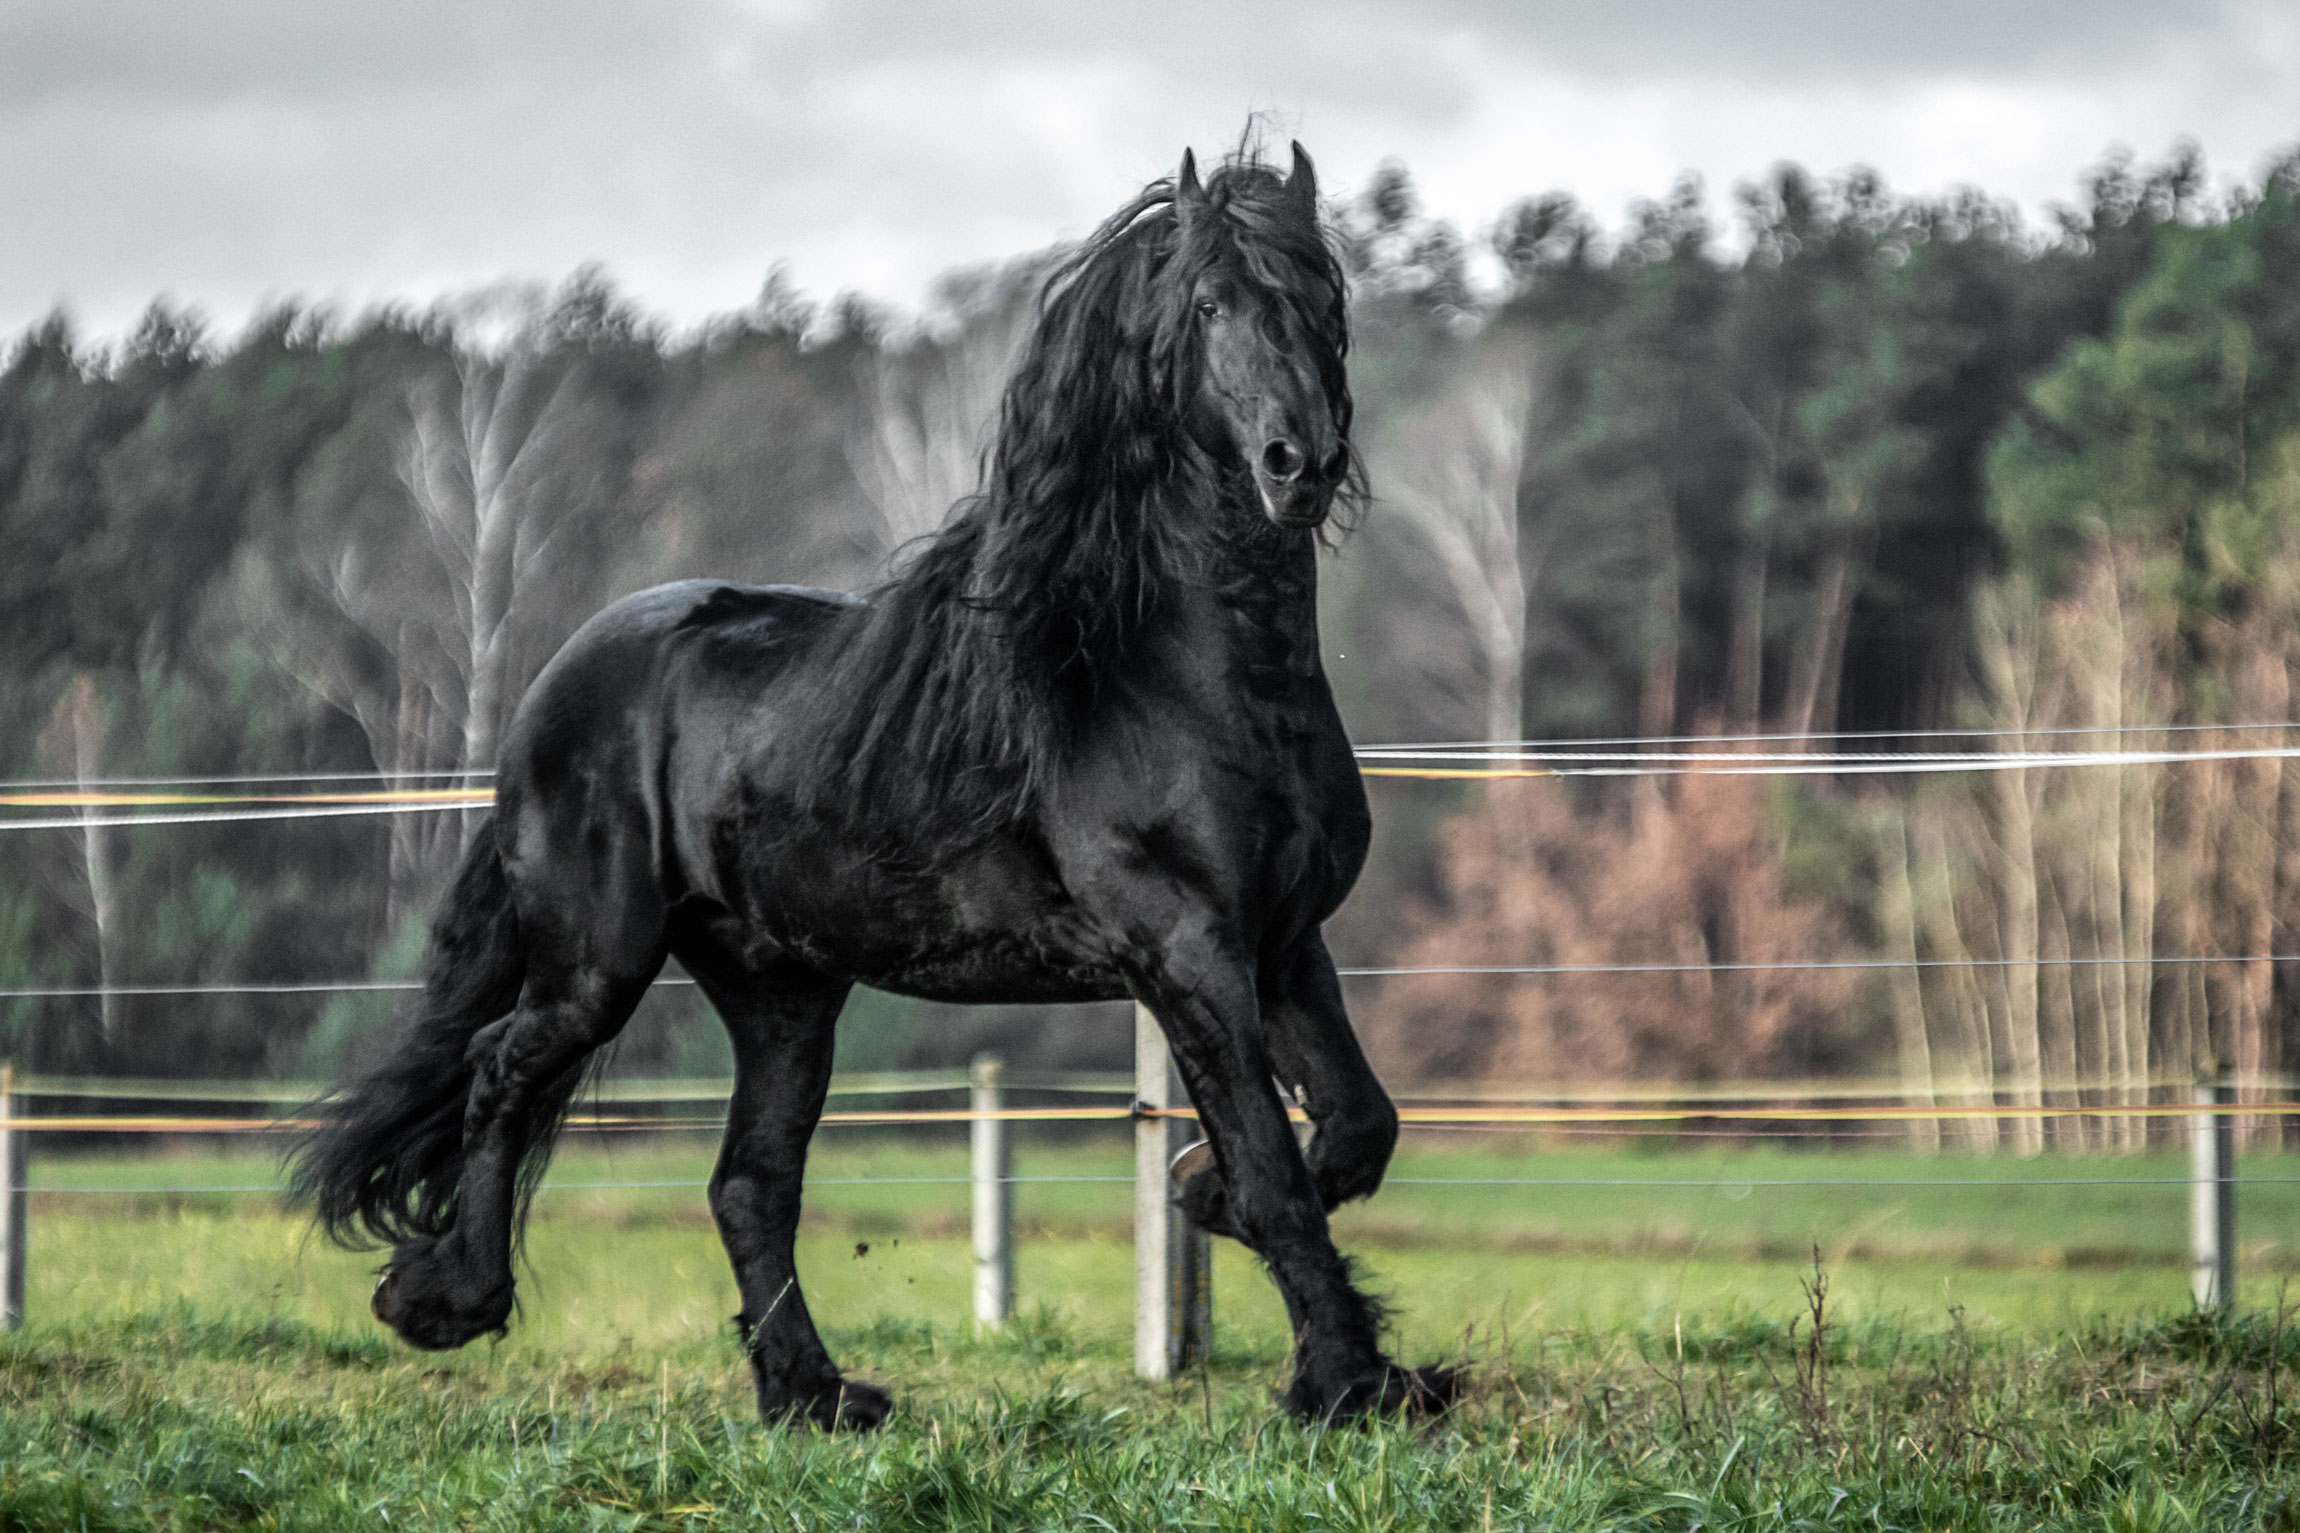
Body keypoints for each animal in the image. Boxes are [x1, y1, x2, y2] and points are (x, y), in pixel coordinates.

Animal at [293, 142, 1455, 1428]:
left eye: (1323, 303)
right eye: (1207, 307)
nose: (1300, 465)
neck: (1179, 677)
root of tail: (558, 680)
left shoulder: (1283, 942)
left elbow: (1353, 1129)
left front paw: (1209, 1204)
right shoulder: (1187, 950)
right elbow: (1277, 1167)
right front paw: (1348, 1383)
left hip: (782, 990)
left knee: (746, 1183)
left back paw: (813, 1395)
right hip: (598, 959)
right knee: (504, 1072)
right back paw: (445, 1303)